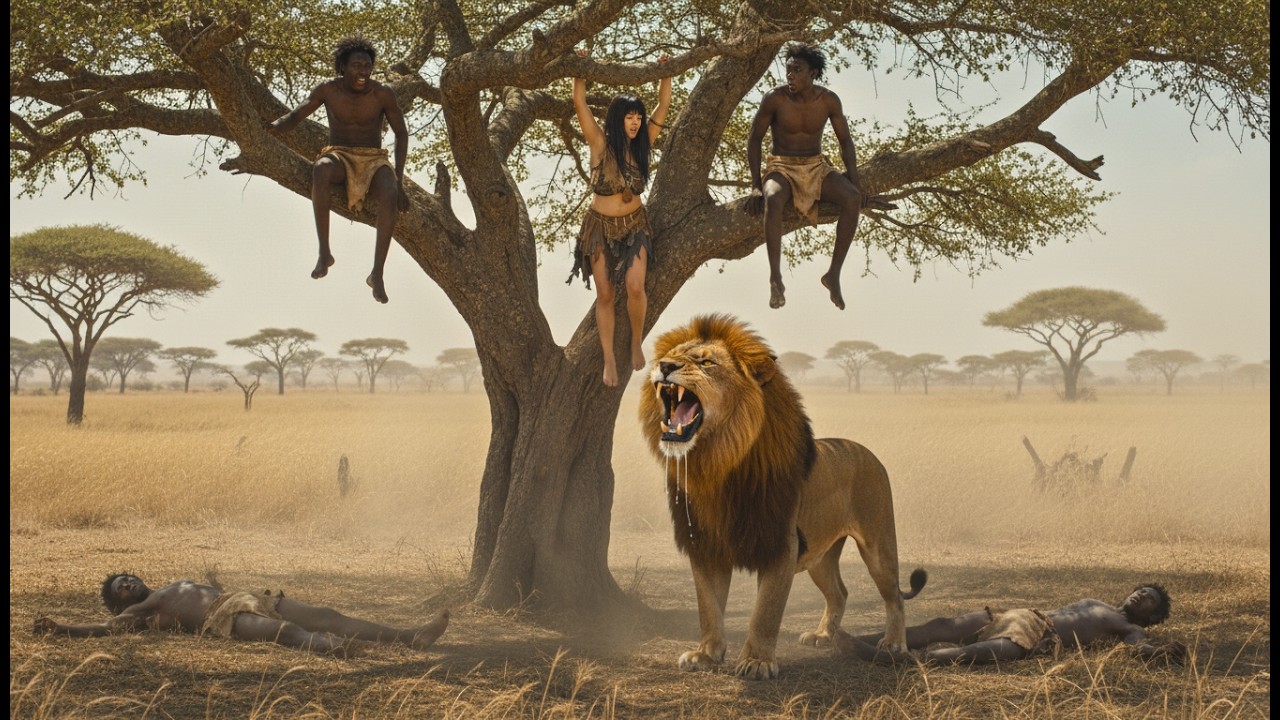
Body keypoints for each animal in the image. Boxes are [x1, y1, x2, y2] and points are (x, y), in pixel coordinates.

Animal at [638, 314, 926, 680]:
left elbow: (766, 611)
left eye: (706, 362)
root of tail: (862, 448)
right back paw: (822, 636)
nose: (664, 365)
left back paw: (894, 644)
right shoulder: (705, 544)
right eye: (670, 355)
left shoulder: (782, 545)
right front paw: (706, 654)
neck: (716, 465)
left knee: (894, 596)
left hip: (877, 543)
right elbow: (708, 606)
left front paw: (757, 662)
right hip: (820, 553)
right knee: (839, 592)